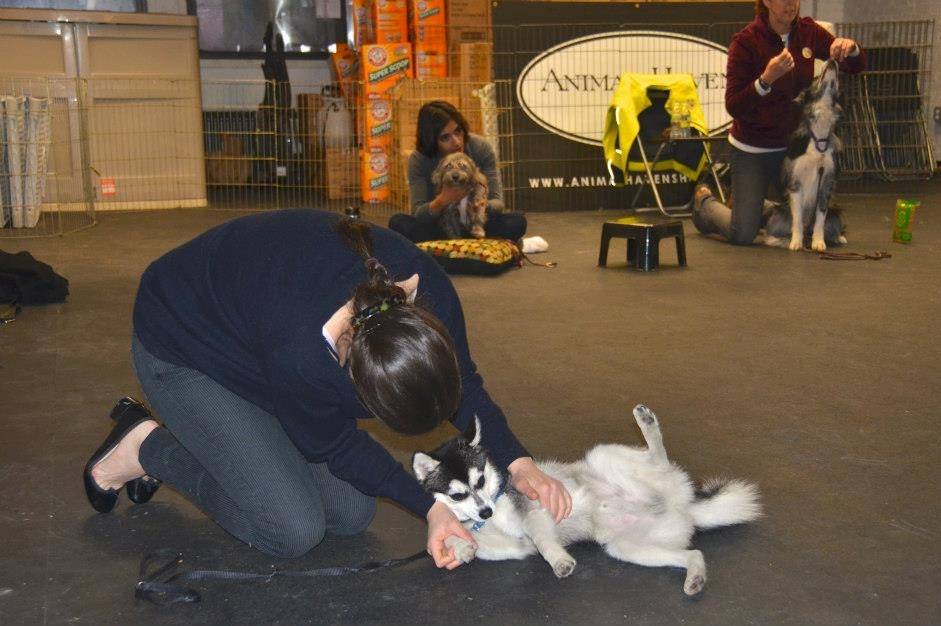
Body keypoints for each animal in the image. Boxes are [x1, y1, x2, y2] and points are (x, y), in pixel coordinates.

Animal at [412, 405, 761, 595]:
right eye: (459, 494)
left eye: (481, 481)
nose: (486, 510)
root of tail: (685, 505)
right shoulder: (516, 546)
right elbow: (472, 538)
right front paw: (460, 545)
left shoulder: (533, 511)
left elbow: (543, 540)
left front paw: (559, 561)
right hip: (628, 547)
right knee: (694, 553)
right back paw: (696, 577)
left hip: (604, 455)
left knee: (658, 456)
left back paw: (647, 424)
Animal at [766, 58, 847, 252]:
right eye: (815, 78)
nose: (832, 60)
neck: (819, 137)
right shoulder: (796, 184)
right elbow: (797, 219)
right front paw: (796, 242)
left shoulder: (826, 182)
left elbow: (820, 219)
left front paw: (818, 243)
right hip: (778, 214)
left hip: (836, 212)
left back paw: (837, 238)